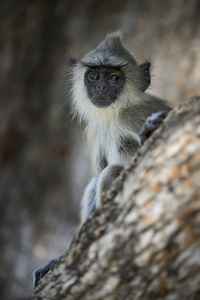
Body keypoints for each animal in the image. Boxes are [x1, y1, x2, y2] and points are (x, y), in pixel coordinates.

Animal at [33, 31, 171, 288]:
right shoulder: (94, 131)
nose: (101, 86)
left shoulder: (134, 115)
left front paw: (152, 129)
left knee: (111, 173)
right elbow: (95, 177)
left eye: (115, 78)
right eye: (94, 76)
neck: (113, 116)